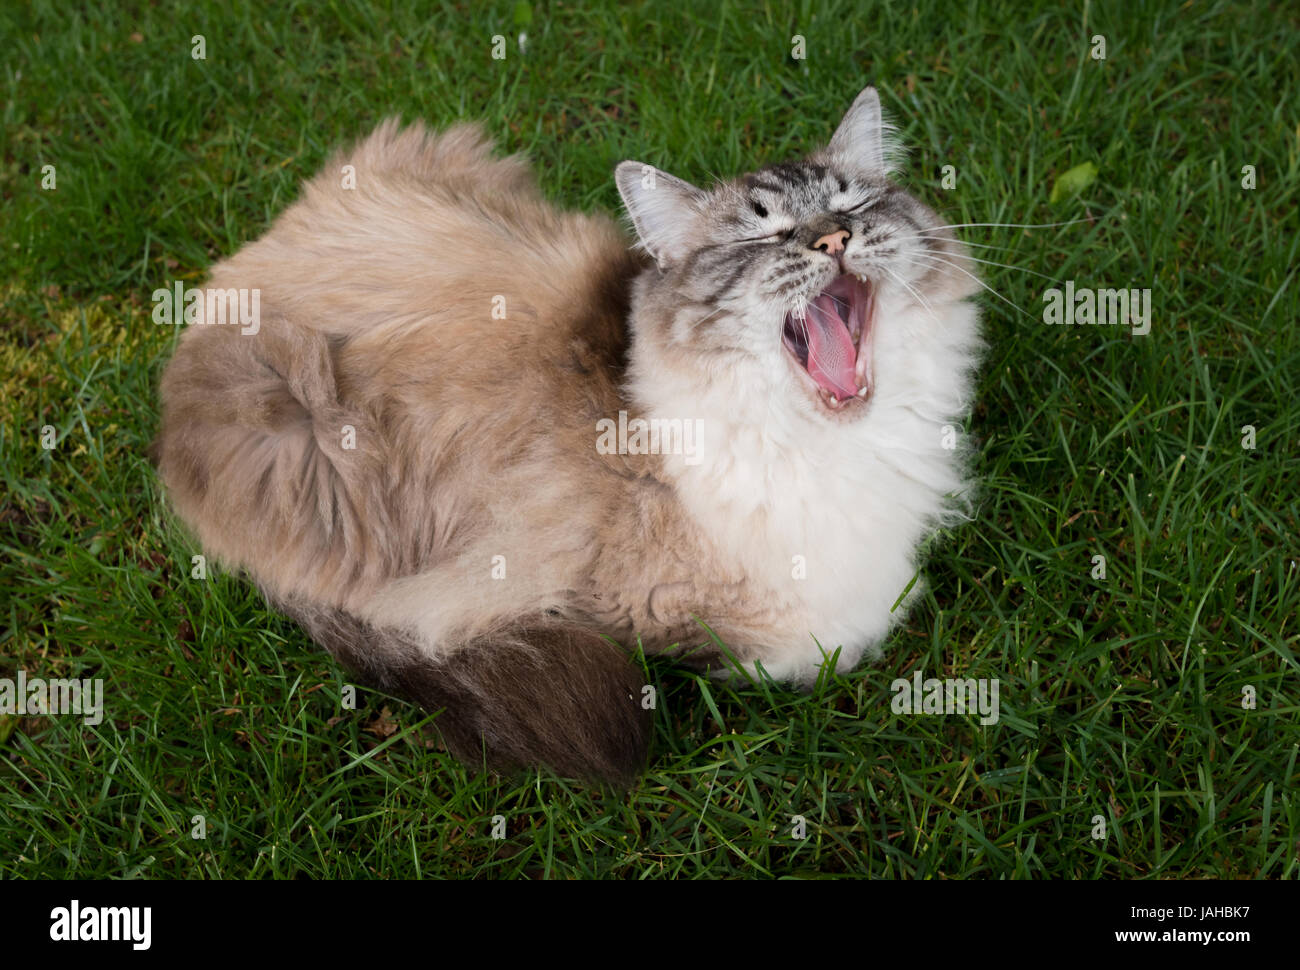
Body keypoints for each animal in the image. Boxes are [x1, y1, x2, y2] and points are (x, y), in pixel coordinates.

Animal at [152, 83, 977, 780]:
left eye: (855, 203)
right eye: (762, 236)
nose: (833, 240)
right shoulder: (640, 600)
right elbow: (844, 629)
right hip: (296, 422)